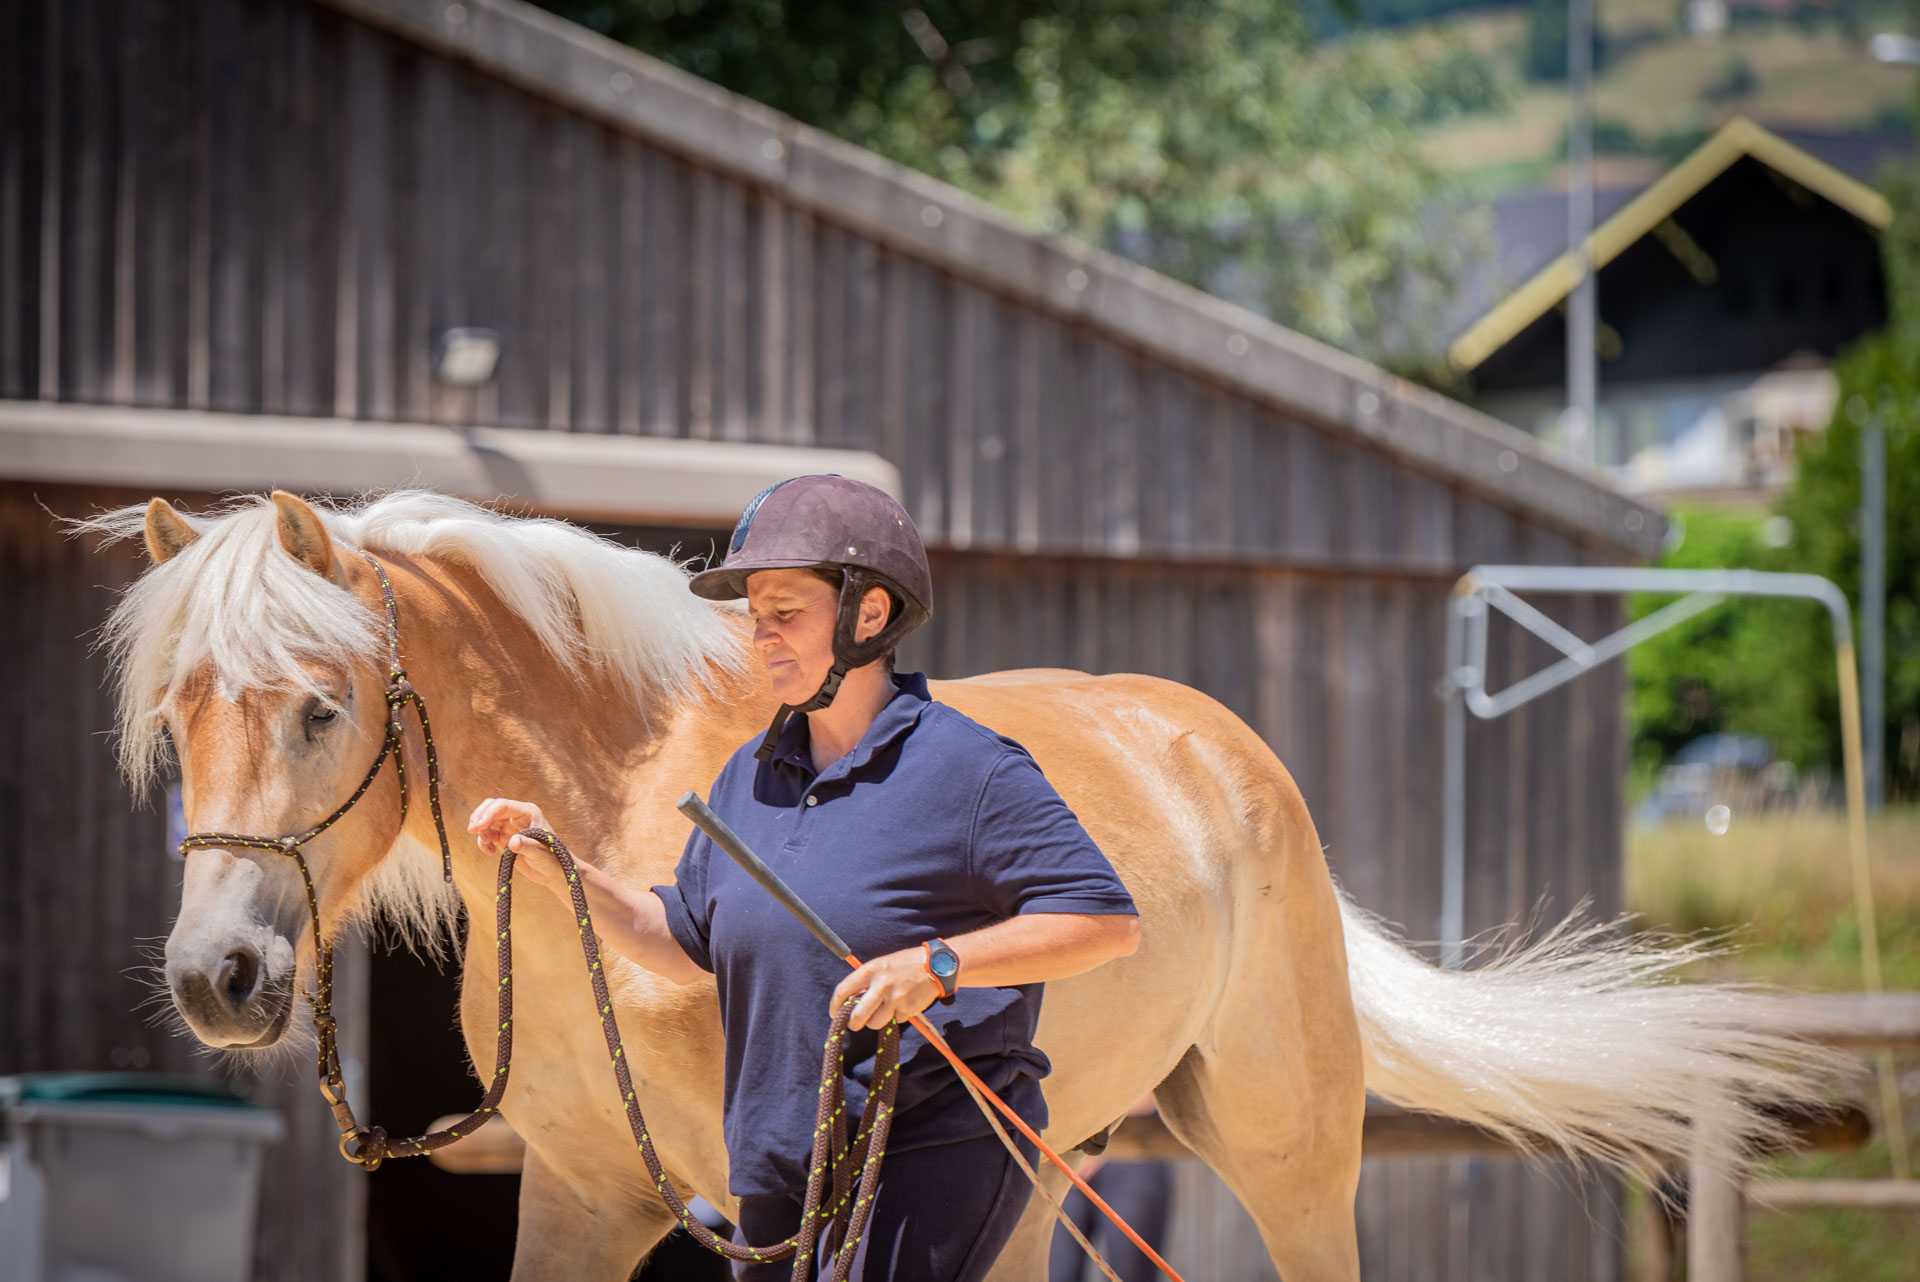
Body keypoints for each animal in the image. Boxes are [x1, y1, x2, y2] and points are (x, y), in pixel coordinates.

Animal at [82, 488, 1833, 1281]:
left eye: (320, 706)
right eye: (176, 714)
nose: (218, 978)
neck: (628, 805)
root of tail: (1222, 749)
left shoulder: (775, 1203)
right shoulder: (586, 1192)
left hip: (1287, 1145)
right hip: (1047, 1160)